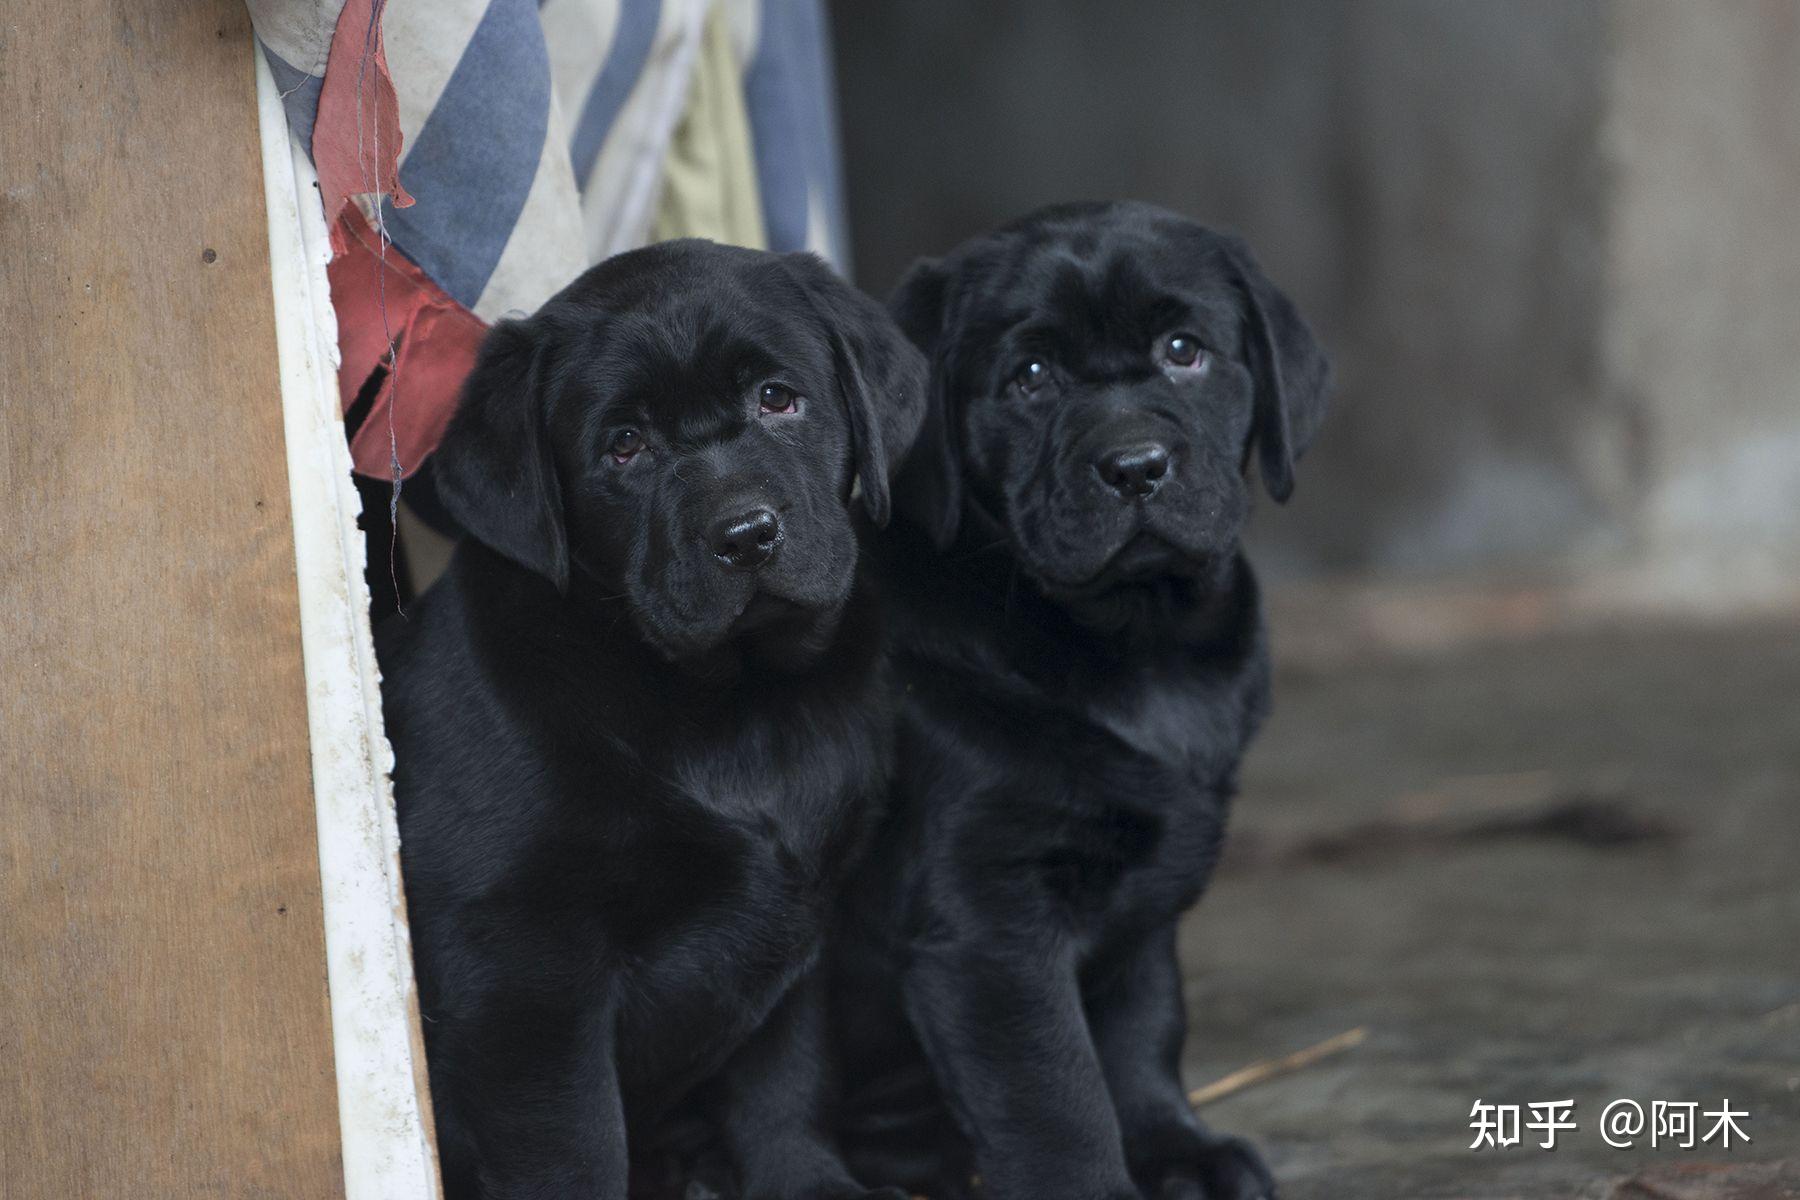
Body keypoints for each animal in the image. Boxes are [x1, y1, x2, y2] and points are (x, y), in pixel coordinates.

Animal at [385, 239, 928, 1200]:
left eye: (778, 398)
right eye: (625, 446)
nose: (745, 535)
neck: (736, 706)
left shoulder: (800, 917)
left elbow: (786, 1086)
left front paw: (809, 1181)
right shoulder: (523, 977)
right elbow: (573, 1148)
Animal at [835, 201, 1332, 1194]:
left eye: (1184, 350)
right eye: (1030, 377)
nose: (1136, 465)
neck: (1135, 647)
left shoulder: (1150, 878)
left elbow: (1142, 1028)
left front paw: (1179, 1150)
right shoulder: (989, 920)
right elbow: (1052, 1093)